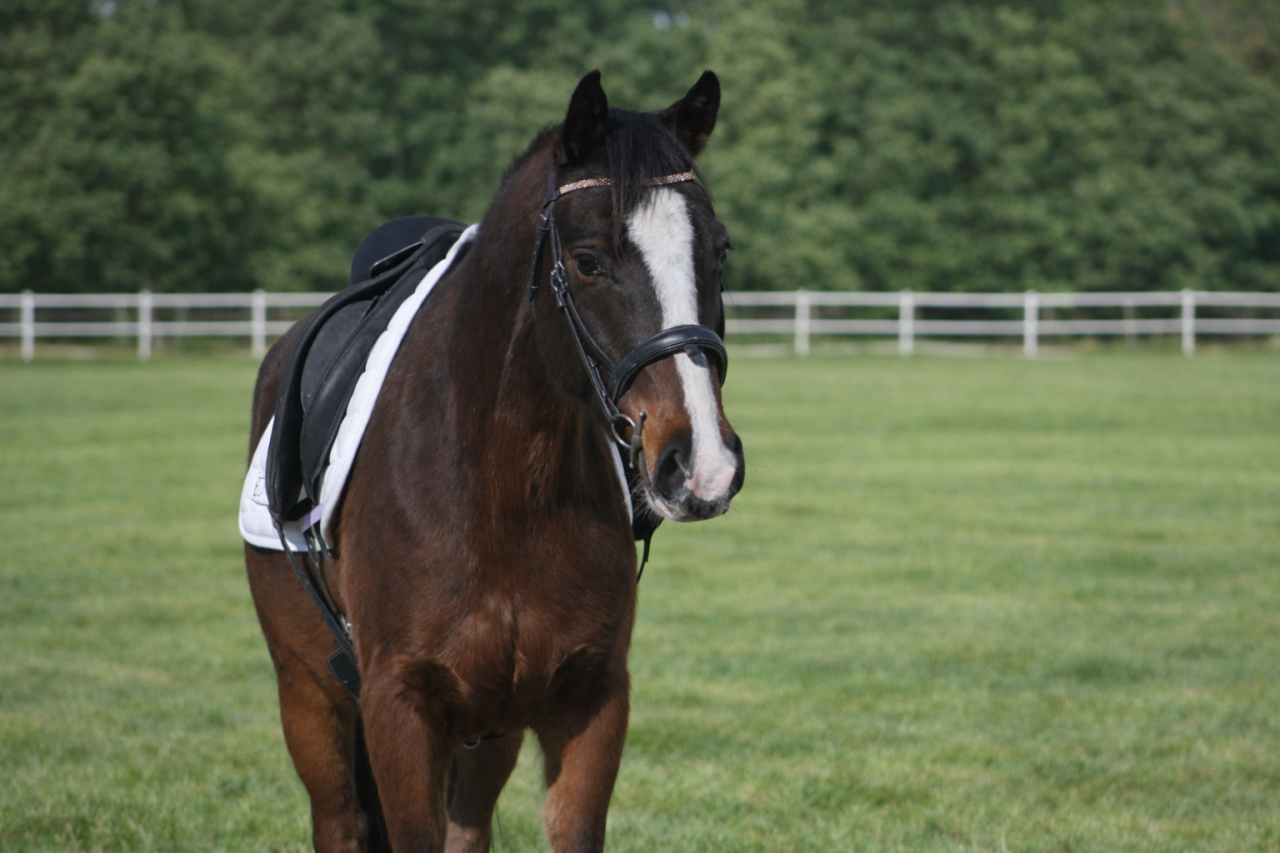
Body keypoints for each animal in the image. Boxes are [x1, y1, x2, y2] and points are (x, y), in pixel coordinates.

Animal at [244, 69, 744, 852]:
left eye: (719, 252)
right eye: (588, 260)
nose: (702, 464)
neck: (502, 488)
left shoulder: (588, 702)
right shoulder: (399, 713)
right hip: (308, 696)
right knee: (340, 818)